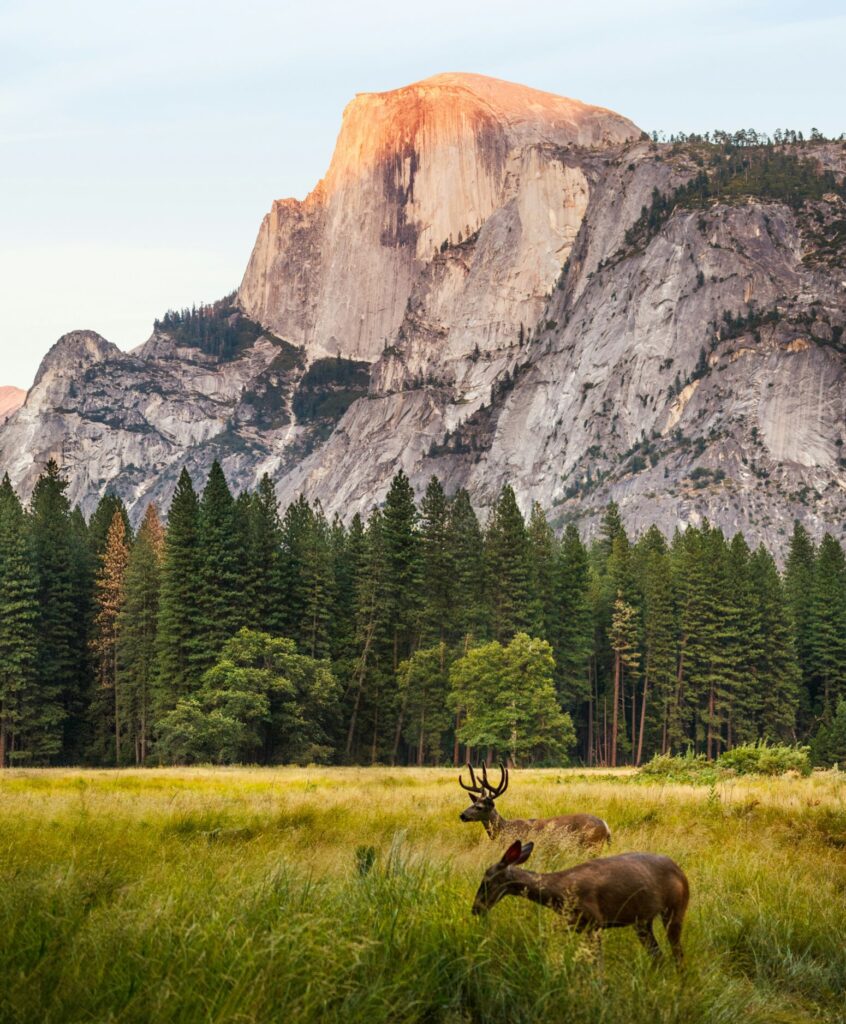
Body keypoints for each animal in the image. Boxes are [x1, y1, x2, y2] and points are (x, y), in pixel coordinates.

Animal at [458, 761, 610, 847]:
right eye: (473, 803)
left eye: (479, 807)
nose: (462, 815)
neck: (503, 829)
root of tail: (606, 826)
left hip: (592, 844)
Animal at [471, 835, 688, 962]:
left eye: (486, 880)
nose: (475, 909)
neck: (559, 892)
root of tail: (681, 872)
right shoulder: (572, 923)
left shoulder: (595, 921)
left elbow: (596, 963)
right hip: (642, 922)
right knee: (658, 956)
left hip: (675, 909)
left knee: (677, 954)